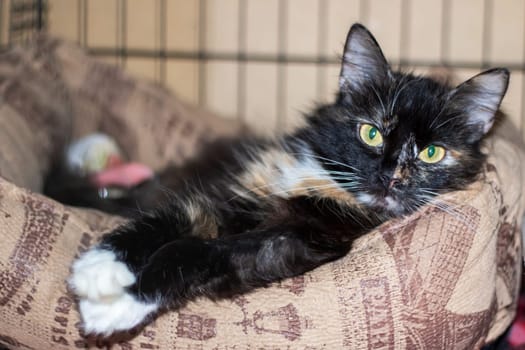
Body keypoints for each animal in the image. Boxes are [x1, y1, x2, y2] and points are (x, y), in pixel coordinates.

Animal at [65, 23, 508, 334]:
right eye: (372, 133)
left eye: (433, 153)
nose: (390, 179)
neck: (326, 181)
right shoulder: (233, 193)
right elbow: (169, 221)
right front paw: (100, 266)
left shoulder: (302, 242)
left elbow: (199, 251)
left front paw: (118, 305)